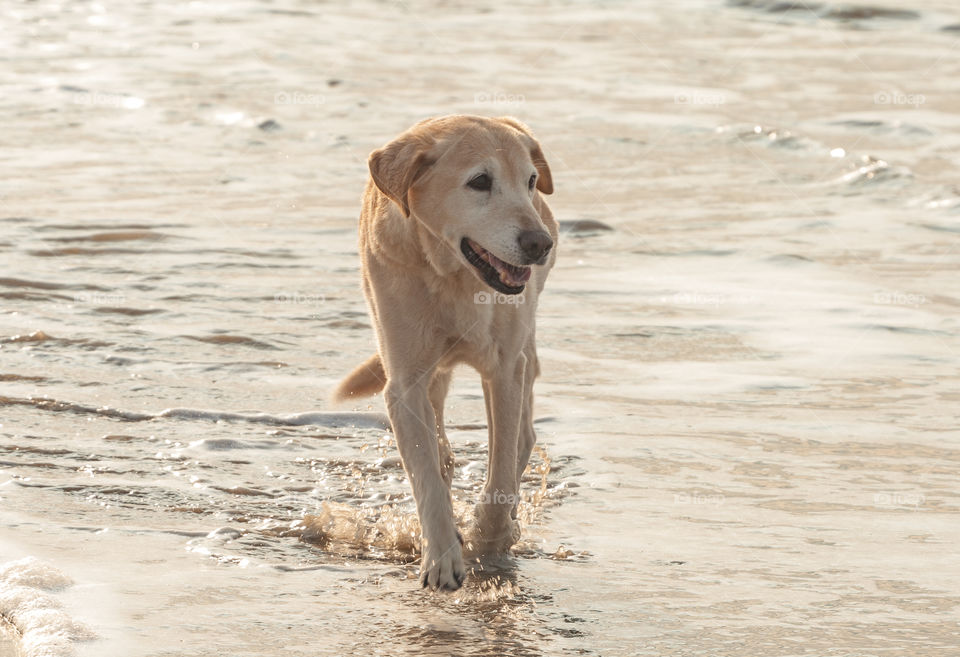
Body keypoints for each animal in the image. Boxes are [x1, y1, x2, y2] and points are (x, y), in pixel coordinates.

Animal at [334, 114, 560, 588]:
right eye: (479, 181)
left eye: (530, 181)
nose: (539, 243)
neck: (453, 276)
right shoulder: (404, 382)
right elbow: (425, 473)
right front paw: (441, 557)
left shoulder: (504, 369)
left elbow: (500, 472)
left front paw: (489, 541)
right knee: (440, 444)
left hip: (524, 348)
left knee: (523, 437)